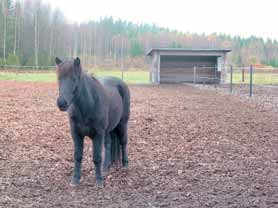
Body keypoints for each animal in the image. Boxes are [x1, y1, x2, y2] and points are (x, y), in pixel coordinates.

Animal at [55, 57, 131, 188]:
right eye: (59, 78)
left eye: (74, 79)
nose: (61, 103)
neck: (88, 105)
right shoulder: (76, 134)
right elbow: (78, 156)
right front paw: (75, 179)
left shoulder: (98, 134)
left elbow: (96, 158)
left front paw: (99, 181)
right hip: (109, 130)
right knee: (109, 144)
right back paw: (107, 167)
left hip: (122, 124)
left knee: (123, 142)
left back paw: (125, 165)